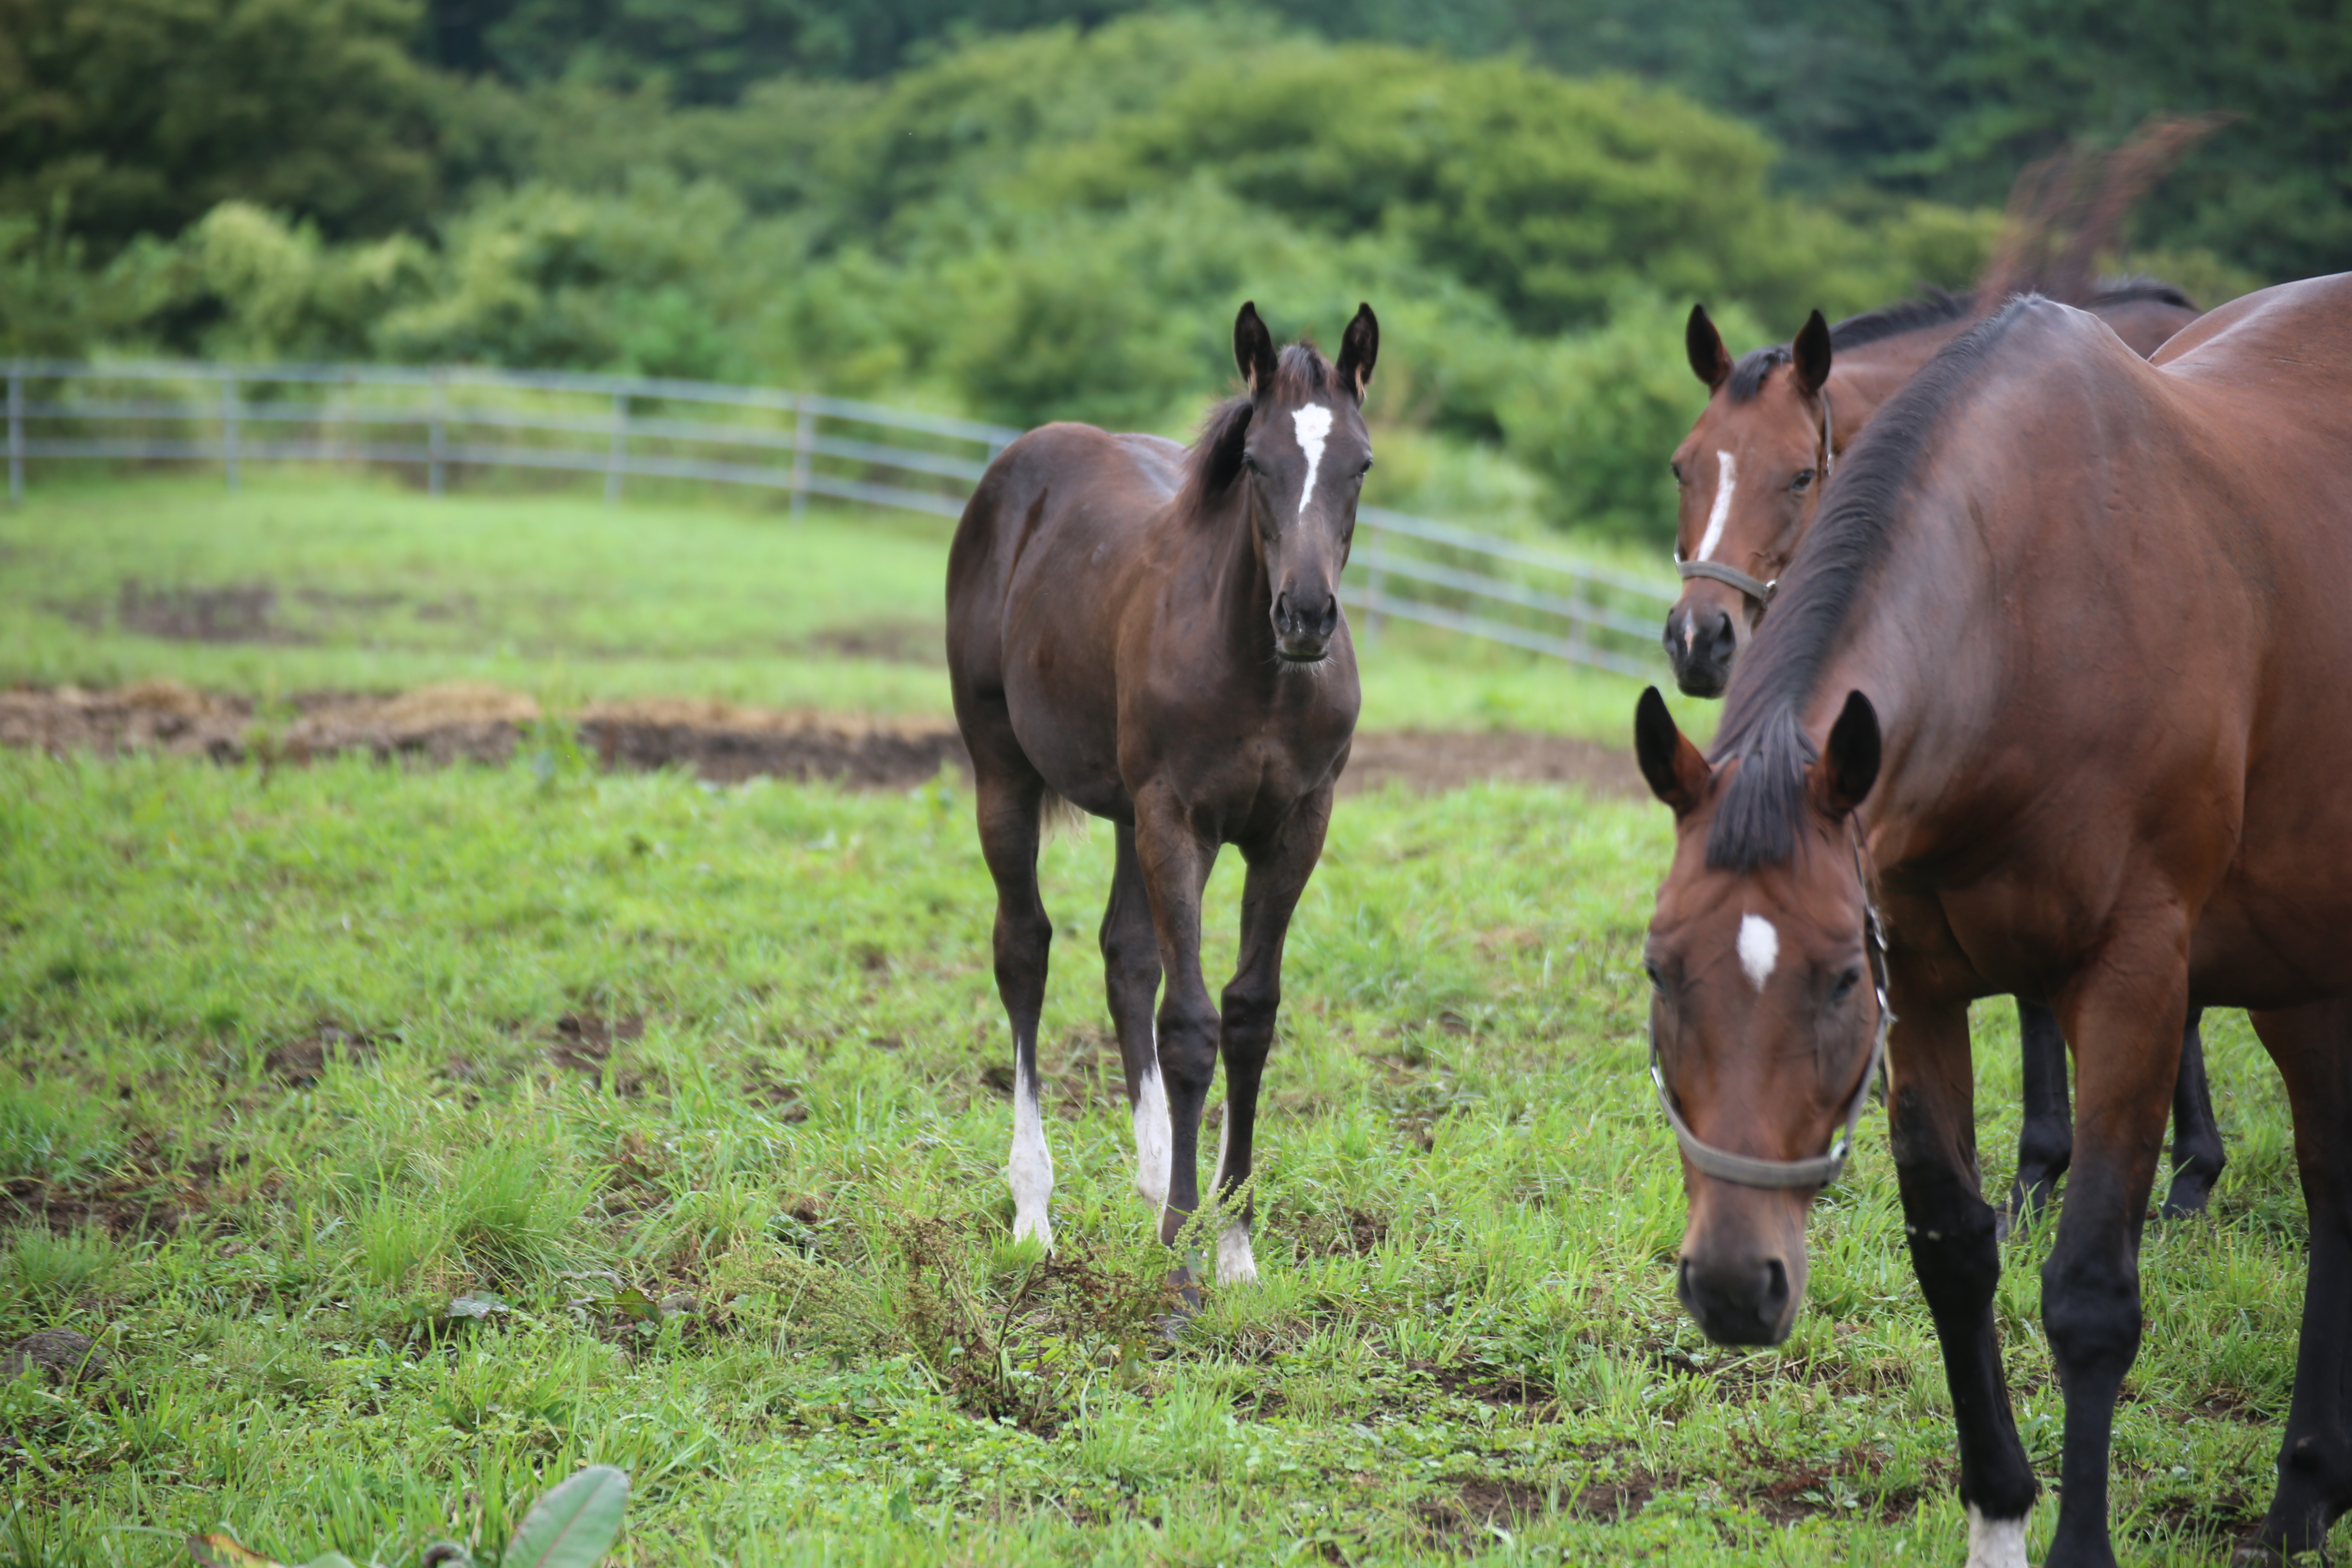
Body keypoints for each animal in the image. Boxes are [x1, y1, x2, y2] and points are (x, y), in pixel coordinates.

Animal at [941, 301, 1373, 1297]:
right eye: (1255, 461)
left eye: (1361, 464)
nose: (1306, 615)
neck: (1261, 677)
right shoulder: (1180, 820)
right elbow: (1189, 1023)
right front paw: (1181, 1261)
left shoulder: (1295, 829)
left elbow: (1249, 1015)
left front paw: (1234, 1246)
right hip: (1004, 769)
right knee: (1024, 949)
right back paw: (1034, 1211)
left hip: (1129, 813)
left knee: (1125, 957)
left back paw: (1148, 1181)